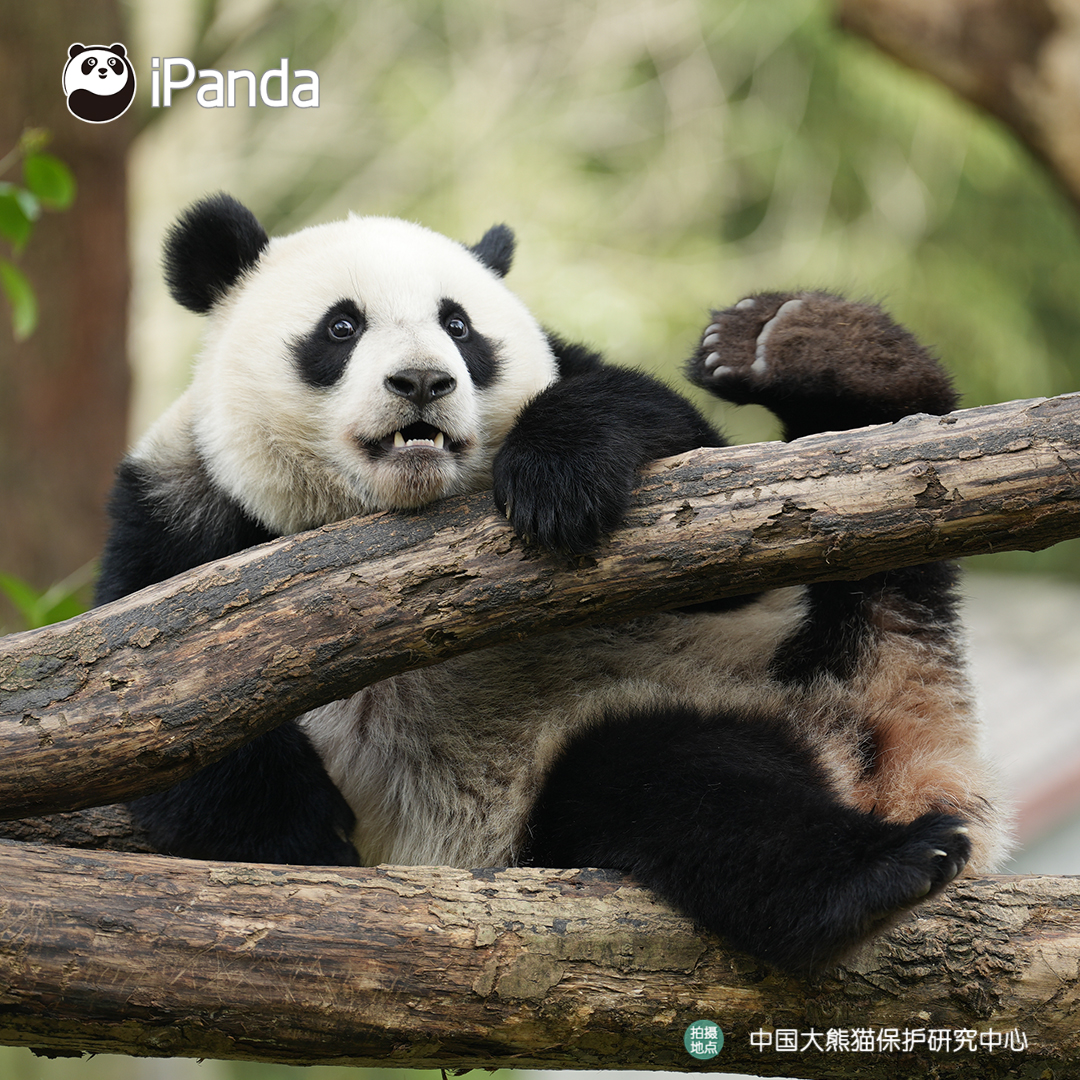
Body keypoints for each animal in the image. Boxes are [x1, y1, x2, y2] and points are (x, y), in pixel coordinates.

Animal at [96, 193, 1009, 974]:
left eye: (459, 325)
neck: (389, 508)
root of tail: (870, 729)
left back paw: (813, 346)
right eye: (342, 325)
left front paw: (557, 479)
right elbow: (166, 716)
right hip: (585, 766)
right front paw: (304, 830)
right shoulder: (179, 515)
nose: (423, 382)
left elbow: (687, 474)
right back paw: (878, 873)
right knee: (682, 789)